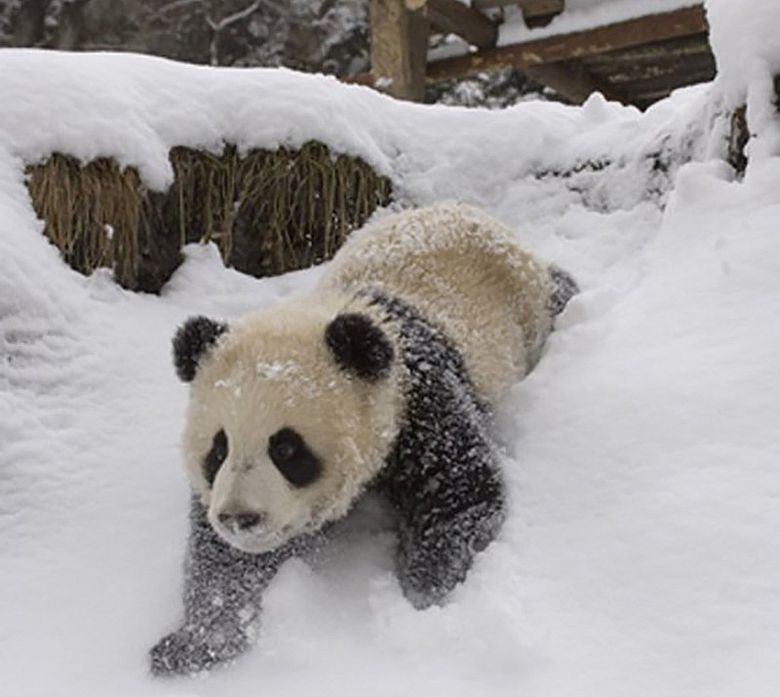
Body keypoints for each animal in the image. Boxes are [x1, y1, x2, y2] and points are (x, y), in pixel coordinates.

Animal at [150, 203, 577, 675]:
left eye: (286, 449)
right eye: (218, 449)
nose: (239, 518)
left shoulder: (420, 398)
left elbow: (463, 492)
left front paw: (420, 589)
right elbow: (223, 559)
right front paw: (194, 643)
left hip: (526, 306)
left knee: (555, 291)